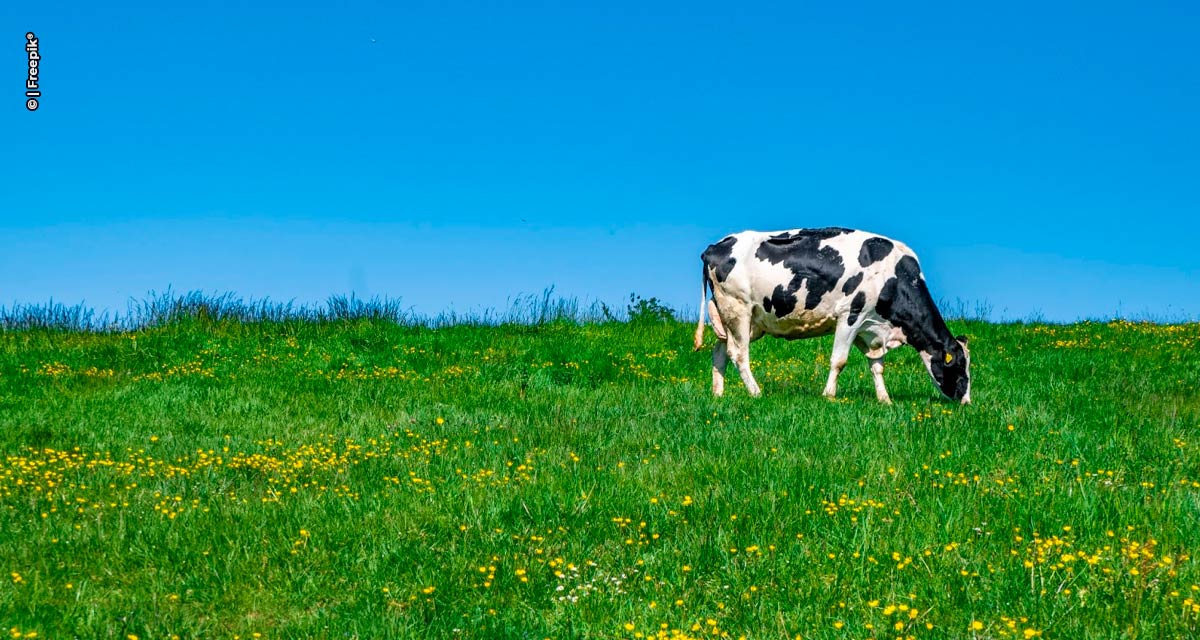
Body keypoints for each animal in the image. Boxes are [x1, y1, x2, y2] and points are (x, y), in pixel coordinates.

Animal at [700, 226, 969, 401]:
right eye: (959, 366)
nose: (965, 402)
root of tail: (715, 247)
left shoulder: (869, 329)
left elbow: (877, 365)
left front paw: (884, 399)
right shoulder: (851, 315)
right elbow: (839, 360)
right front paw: (829, 395)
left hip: (747, 320)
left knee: (720, 350)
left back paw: (718, 394)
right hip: (737, 309)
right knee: (739, 353)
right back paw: (756, 393)